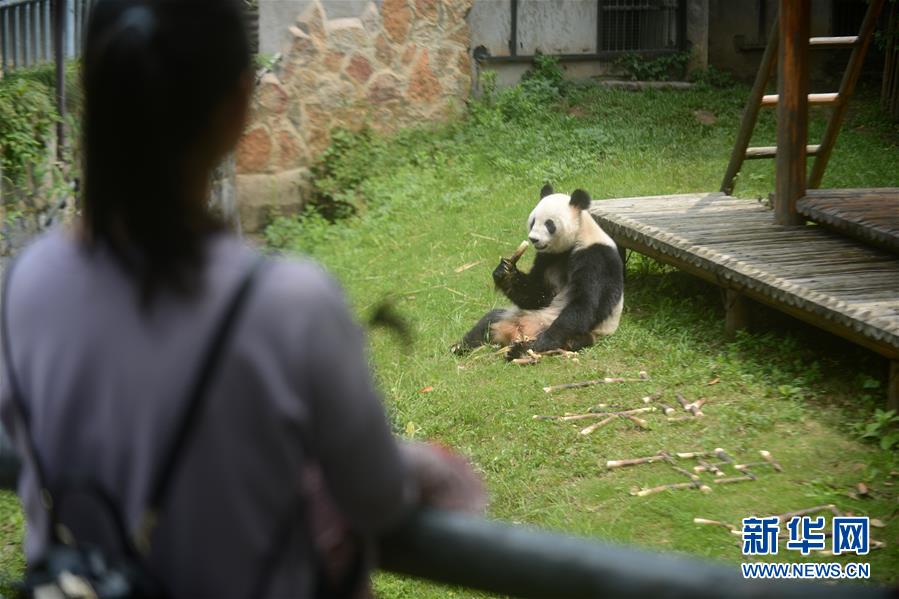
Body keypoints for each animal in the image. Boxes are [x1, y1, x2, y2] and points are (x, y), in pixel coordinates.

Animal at [454, 185, 624, 358]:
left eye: (549, 224)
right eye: (533, 221)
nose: (533, 239)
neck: (578, 236)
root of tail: (513, 333)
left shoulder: (595, 257)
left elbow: (586, 302)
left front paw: (544, 341)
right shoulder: (547, 258)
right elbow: (538, 294)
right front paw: (505, 272)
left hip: (580, 332)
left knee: (565, 338)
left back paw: (522, 349)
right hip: (512, 315)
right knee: (488, 321)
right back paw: (461, 346)